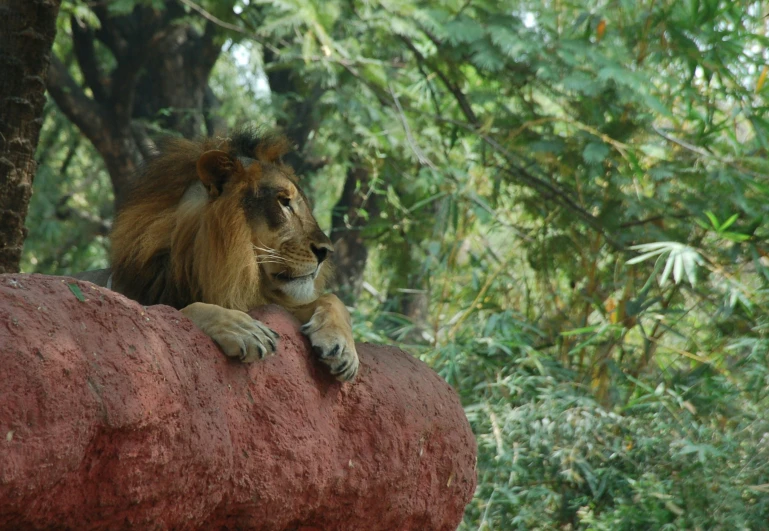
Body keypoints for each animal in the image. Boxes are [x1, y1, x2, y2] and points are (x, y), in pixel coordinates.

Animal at [87, 130, 356, 382]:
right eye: (284, 202)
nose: (326, 251)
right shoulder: (134, 300)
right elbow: (185, 309)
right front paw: (243, 328)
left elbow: (332, 298)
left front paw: (342, 348)